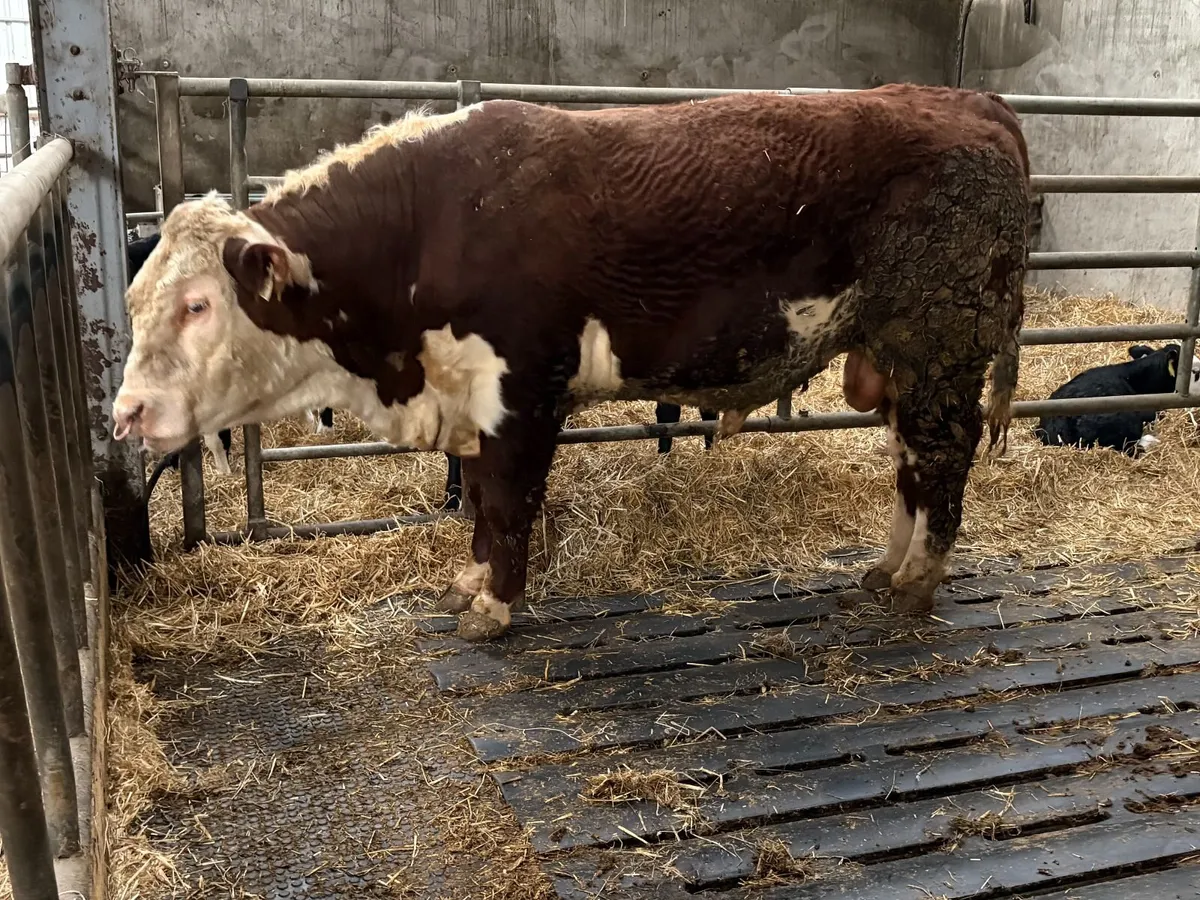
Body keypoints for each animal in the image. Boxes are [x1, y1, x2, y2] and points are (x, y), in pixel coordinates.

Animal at [109, 84, 1030, 642]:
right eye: (136, 300)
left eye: (198, 305)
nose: (127, 413)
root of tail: (964, 100)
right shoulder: (474, 398)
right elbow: (481, 502)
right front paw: (467, 582)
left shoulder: (522, 391)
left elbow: (508, 502)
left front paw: (495, 606)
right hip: (897, 357)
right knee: (910, 464)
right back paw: (885, 571)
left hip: (938, 345)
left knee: (941, 462)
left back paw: (914, 585)